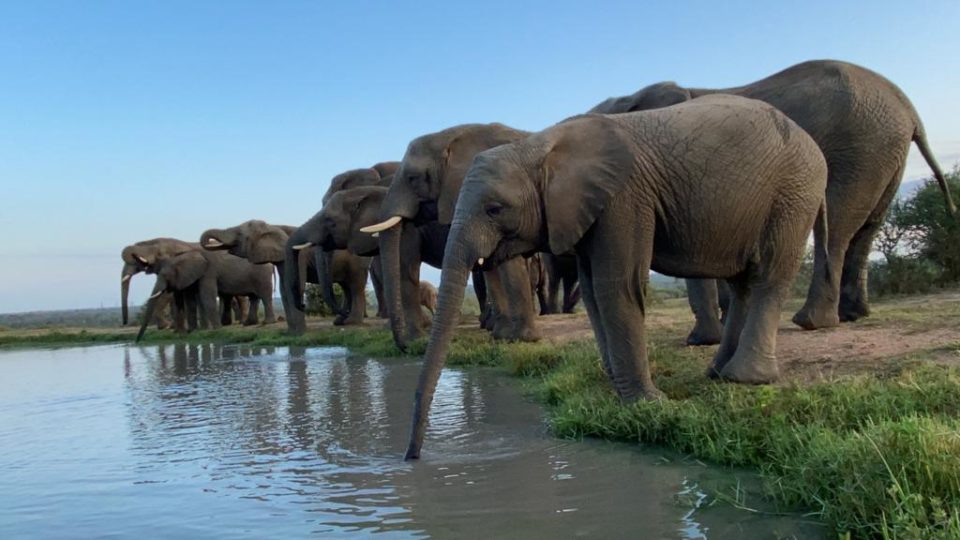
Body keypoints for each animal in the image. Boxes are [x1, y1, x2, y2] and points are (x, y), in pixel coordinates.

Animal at [133, 238, 276, 341]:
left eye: (165, 276)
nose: (137, 341)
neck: (184, 255)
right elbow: (191, 300)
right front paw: (192, 332)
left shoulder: (209, 272)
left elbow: (207, 297)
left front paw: (217, 329)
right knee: (254, 297)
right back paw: (249, 324)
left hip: (262, 274)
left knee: (265, 295)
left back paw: (267, 322)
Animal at [404, 95, 828, 459]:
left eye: (494, 209)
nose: (411, 457)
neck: (539, 145)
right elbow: (594, 293)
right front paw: (622, 396)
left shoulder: (624, 198)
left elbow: (617, 287)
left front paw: (647, 404)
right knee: (744, 282)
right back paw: (718, 374)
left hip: (795, 192)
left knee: (769, 275)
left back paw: (745, 378)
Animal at [590, 59, 957, 343]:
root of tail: (909, 109)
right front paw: (724, 325)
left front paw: (702, 340)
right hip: (886, 153)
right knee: (867, 228)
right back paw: (853, 315)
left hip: (861, 147)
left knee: (836, 226)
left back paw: (811, 322)